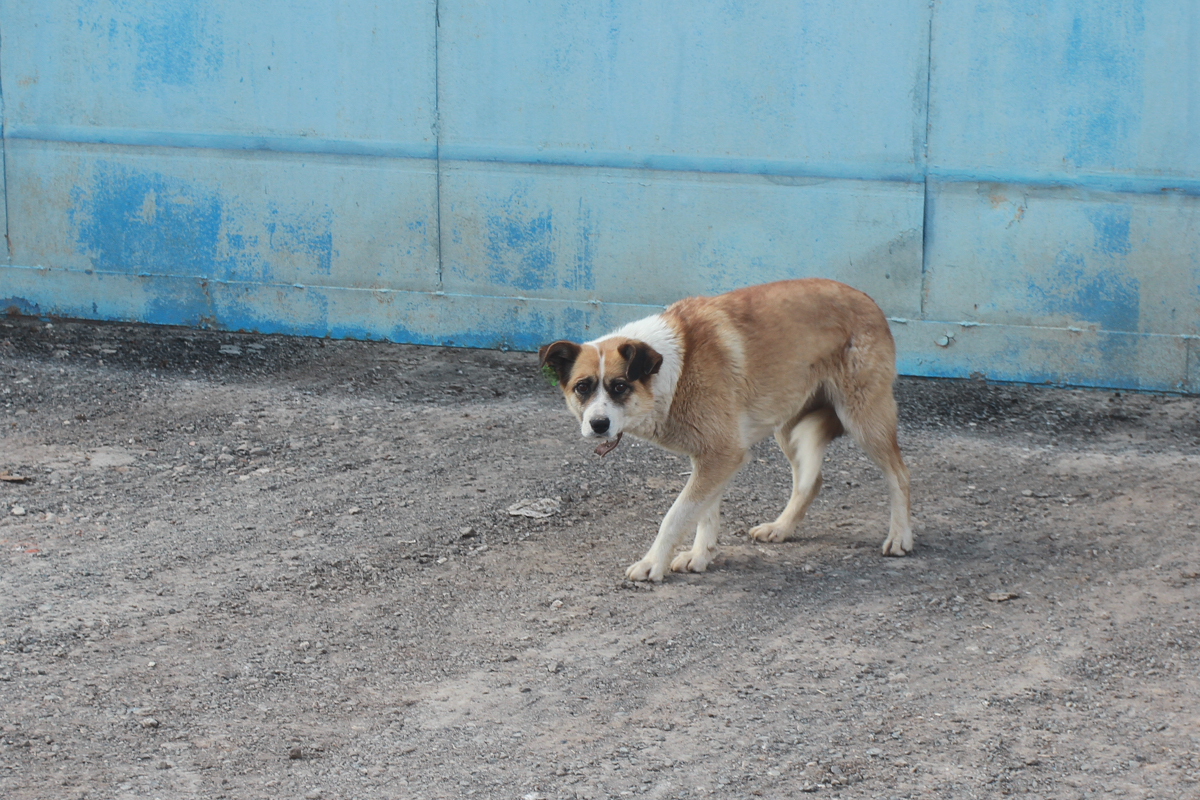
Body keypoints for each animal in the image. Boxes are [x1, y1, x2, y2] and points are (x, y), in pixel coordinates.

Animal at [540, 280, 912, 582]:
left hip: (863, 418)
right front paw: (701, 555)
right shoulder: (712, 455)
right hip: (787, 426)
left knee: (898, 473)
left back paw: (900, 536)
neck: (672, 369)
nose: (598, 425)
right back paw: (781, 528)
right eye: (582, 387)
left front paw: (652, 563)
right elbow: (704, 512)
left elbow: (676, 515)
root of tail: (869, 300)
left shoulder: (722, 454)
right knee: (810, 480)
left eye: (619, 386)